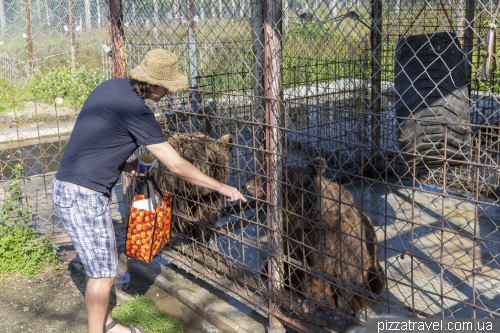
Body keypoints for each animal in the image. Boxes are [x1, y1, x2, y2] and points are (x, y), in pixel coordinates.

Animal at [245, 157, 382, 316]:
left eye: (269, 173)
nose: (249, 179)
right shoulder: (292, 235)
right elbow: (289, 259)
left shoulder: (333, 237)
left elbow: (340, 272)